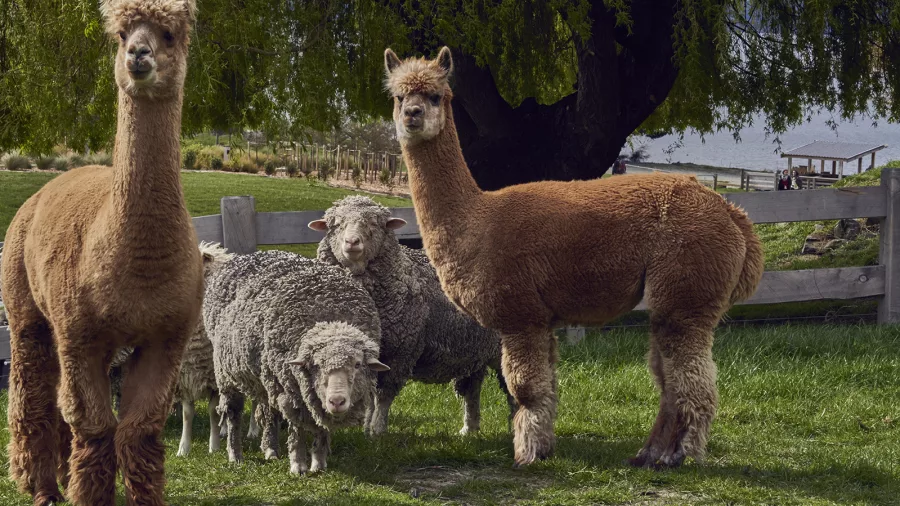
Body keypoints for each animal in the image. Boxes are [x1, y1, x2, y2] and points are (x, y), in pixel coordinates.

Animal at [204, 250, 389, 474]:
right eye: (316, 365)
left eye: (357, 364)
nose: (336, 401)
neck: (330, 315)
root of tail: (244, 257)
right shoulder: (294, 392)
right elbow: (298, 431)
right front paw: (298, 465)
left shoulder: (308, 395)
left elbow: (320, 427)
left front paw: (318, 463)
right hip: (228, 374)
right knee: (233, 414)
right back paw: (235, 454)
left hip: (269, 378)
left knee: (269, 413)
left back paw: (270, 449)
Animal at [309, 195, 516, 436]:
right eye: (335, 224)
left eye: (375, 224)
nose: (352, 243)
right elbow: (369, 393)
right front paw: (367, 427)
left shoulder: (400, 352)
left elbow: (383, 394)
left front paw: (377, 429)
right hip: (473, 350)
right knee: (471, 389)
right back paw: (469, 429)